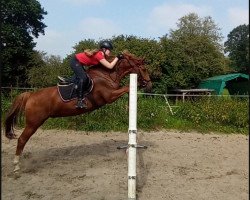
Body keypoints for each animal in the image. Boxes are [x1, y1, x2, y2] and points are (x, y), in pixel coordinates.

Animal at [4, 52, 152, 173]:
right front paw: (138, 86)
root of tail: (30, 95)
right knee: (22, 139)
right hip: (33, 123)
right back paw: (16, 166)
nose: (150, 84)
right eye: (144, 69)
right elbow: (126, 88)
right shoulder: (110, 96)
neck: (107, 75)